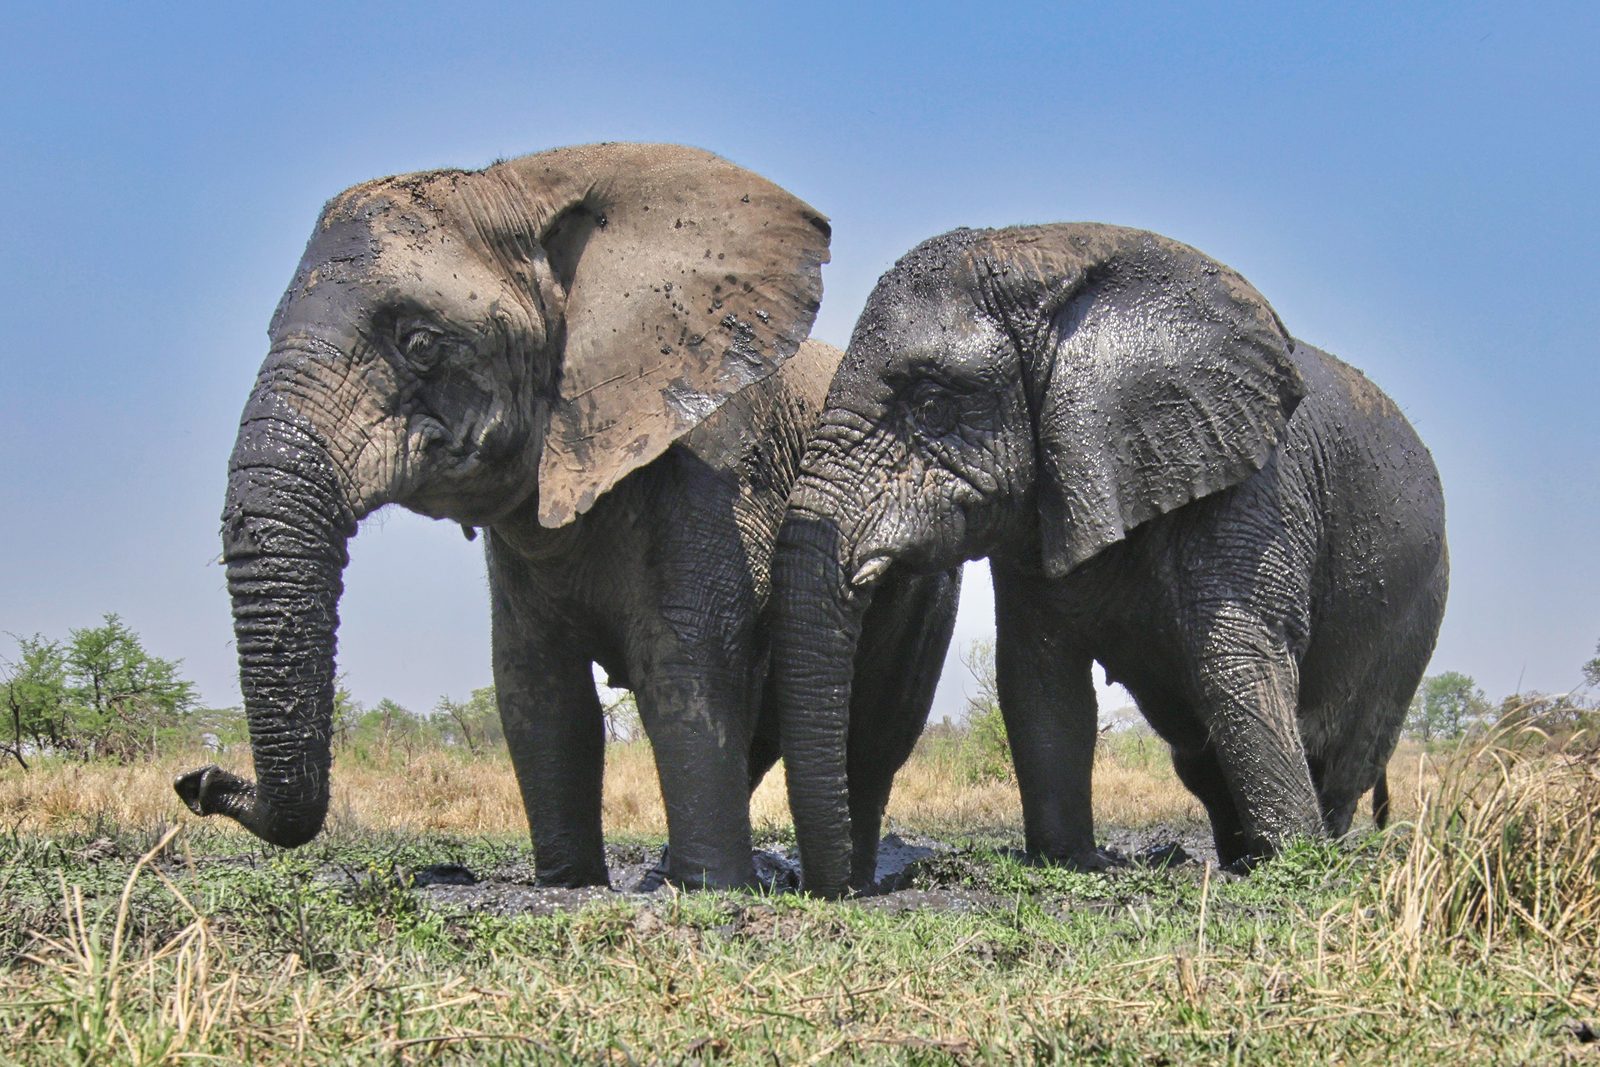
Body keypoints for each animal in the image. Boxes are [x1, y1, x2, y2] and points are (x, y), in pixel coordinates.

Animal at [173, 142, 958, 889]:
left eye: (420, 341)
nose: (198, 782)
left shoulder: (713, 470)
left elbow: (685, 666)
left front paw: (711, 889)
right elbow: (537, 687)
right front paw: (570, 882)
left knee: (874, 732)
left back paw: (849, 882)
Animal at [771, 223, 1448, 895]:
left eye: (932, 405)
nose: (846, 891)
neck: (1052, 256)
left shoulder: (1254, 483)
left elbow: (1234, 658)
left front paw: (1296, 863)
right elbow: (1039, 676)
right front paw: (1067, 861)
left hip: (1415, 612)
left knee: (1341, 752)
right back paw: (1239, 857)